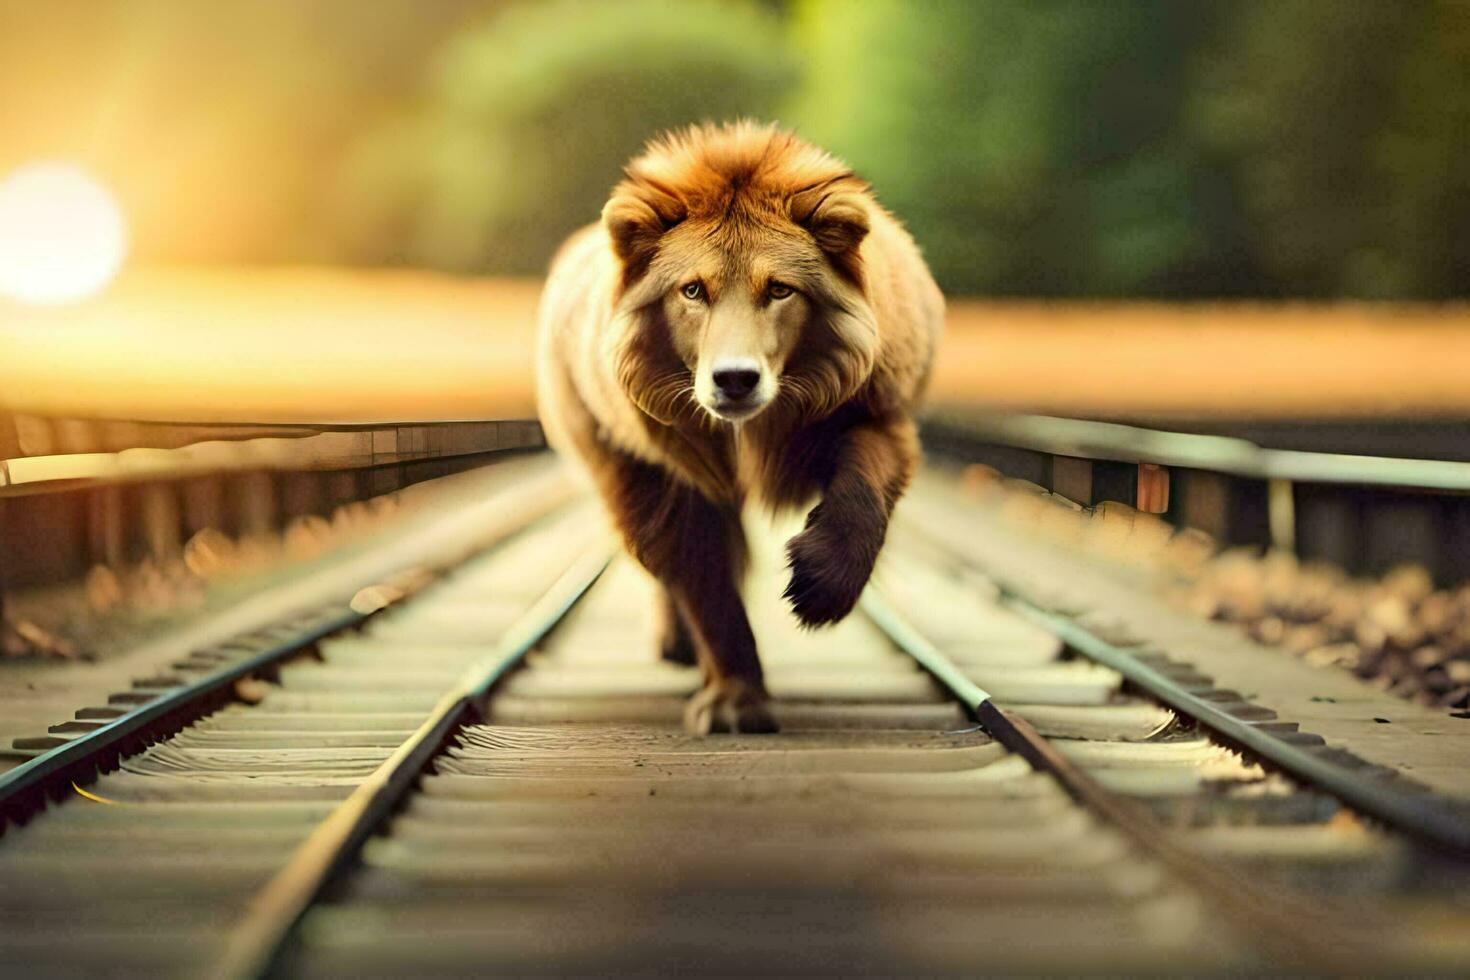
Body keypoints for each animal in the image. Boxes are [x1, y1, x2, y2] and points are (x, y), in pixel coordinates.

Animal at [538, 122, 940, 731]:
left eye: (779, 289)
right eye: (692, 290)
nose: (734, 379)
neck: (748, 433)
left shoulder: (873, 409)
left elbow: (864, 490)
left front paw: (820, 588)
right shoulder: (659, 471)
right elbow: (705, 582)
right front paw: (735, 700)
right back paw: (678, 644)